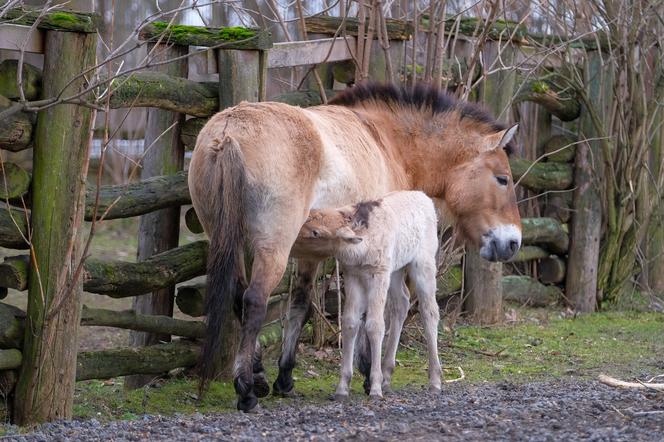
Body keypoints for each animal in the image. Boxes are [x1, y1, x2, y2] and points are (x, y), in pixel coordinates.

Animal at [296, 192, 440, 398]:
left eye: (316, 232)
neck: (359, 250)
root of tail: (426, 198)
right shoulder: (352, 275)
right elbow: (349, 323)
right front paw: (343, 386)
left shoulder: (378, 273)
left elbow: (375, 325)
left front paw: (375, 387)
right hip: (395, 270)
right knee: (402, 302)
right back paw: (387, 374)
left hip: (423, 263)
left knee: (429, 311)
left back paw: (435, 380)